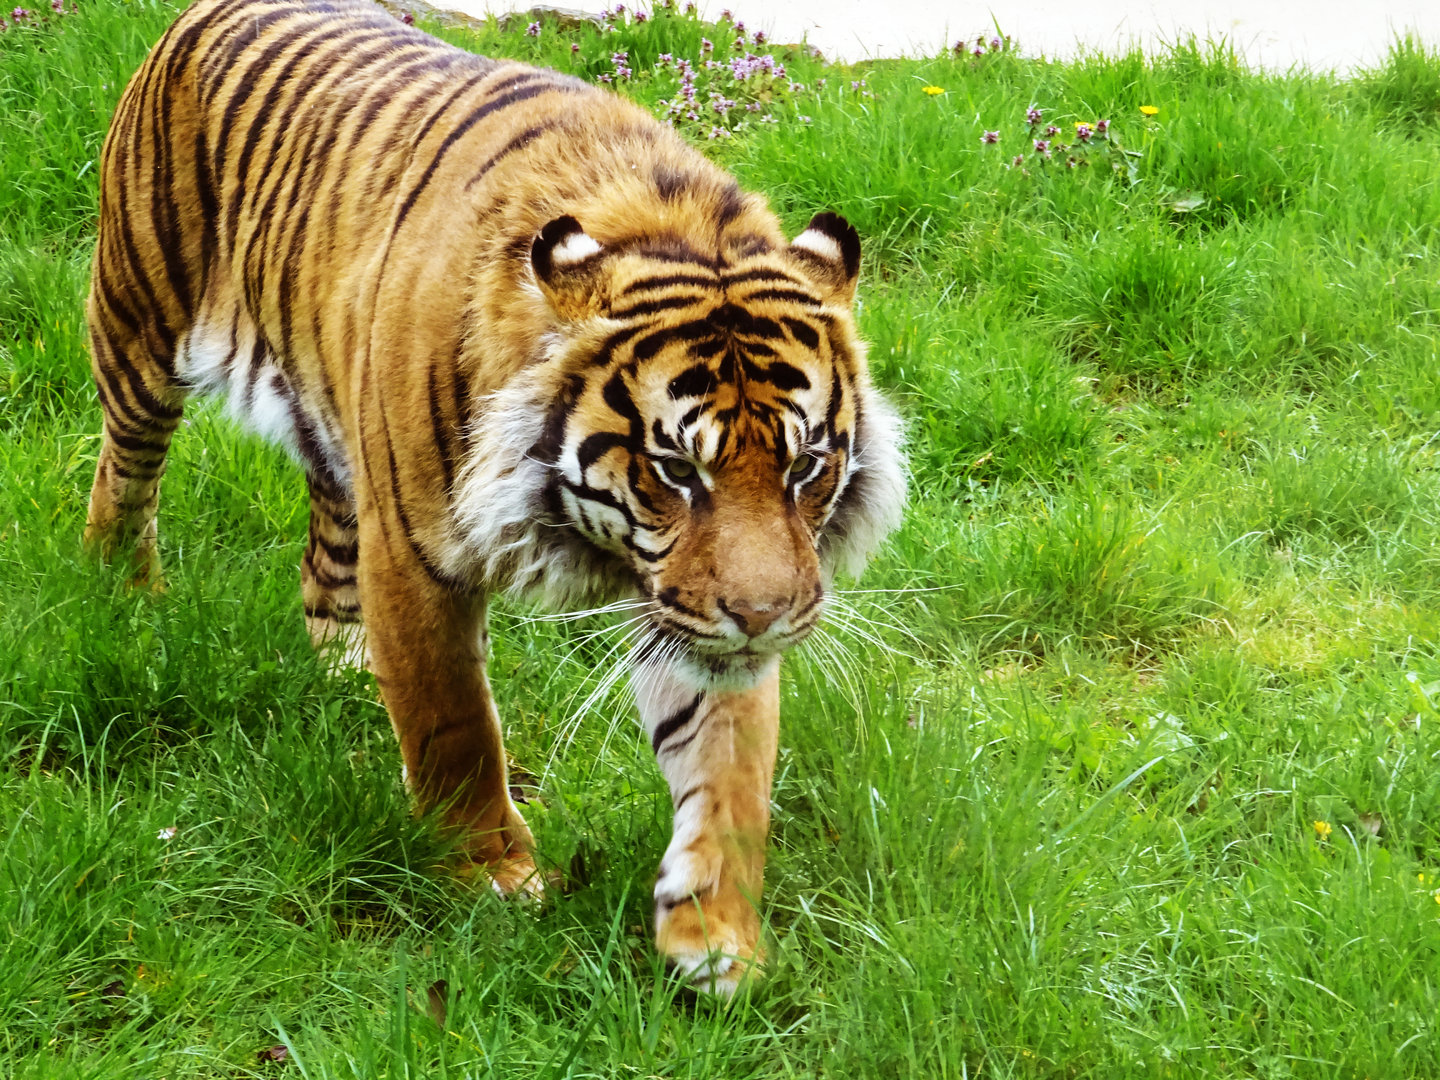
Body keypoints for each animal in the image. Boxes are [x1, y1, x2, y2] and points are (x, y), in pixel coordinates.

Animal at [83, 0, 906, 994]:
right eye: (677, 470)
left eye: (804, 465)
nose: (765, 617)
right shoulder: (417, 553)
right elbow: (455, 724)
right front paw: (489, 877)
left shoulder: (687, 613)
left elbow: (730, 768)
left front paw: (718, 936)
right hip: (139, 331)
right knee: (124, 477)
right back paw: (120, 599)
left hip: (332, 430)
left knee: (324, 560)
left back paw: (347, 671)